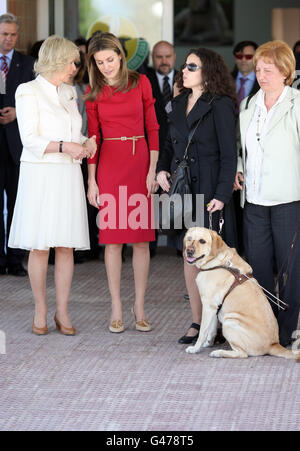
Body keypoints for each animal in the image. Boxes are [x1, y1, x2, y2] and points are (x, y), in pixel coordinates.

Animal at [184, 228, 298, 362]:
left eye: (202, 241)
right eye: (189, 239)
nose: (189, 251)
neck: (217, 262)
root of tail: (273, 344)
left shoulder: (208, 305)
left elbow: (202, 331)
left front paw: (195, 348)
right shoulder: (213, 307)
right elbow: (211, 330)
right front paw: (208, 343)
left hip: (229, 321)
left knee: (242, 354)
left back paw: (219, 353)